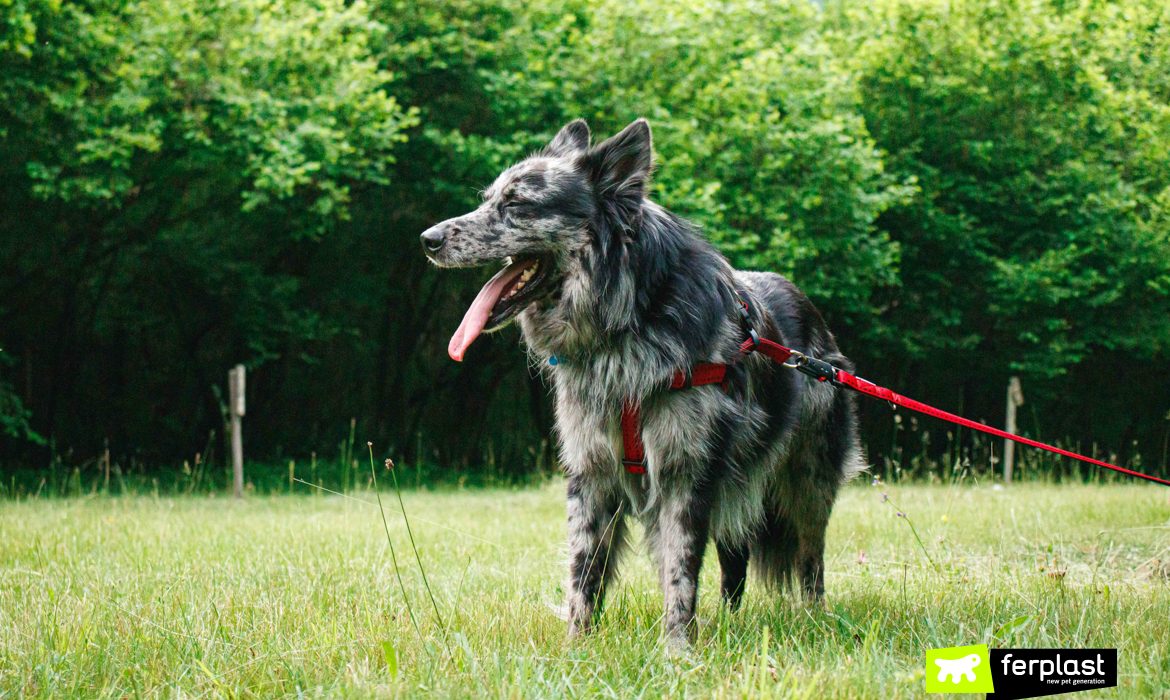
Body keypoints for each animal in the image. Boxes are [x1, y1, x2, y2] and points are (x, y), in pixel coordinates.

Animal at [425, 119, 865, 646]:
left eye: (516, 204)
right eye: (488, 199)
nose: (427, 239)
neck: (625, 321)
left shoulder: (686, 472)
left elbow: (680, 571)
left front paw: (677, 649)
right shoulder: (591, 474)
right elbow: (584, 573)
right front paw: (576, 646)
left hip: (806, 485)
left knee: (809, 560)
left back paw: (813, 618)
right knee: (735, 565)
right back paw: (730, 622)